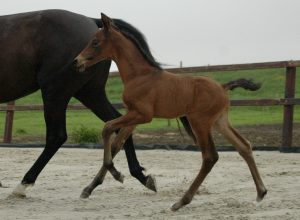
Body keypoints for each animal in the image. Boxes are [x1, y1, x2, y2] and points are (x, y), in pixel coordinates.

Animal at [75, 12, 268, 211]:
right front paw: (91, 187)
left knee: (210, 157)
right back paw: (261, 192)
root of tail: (223, 86)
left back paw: (181, 201)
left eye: (95, 42)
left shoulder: (143, 115)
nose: (77, 61)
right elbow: (116, 144)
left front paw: (116, 173)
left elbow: (107, 128)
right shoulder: (133, 116)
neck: (140, 75)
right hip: (219, 121)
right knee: (244, 146)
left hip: (200, 122)